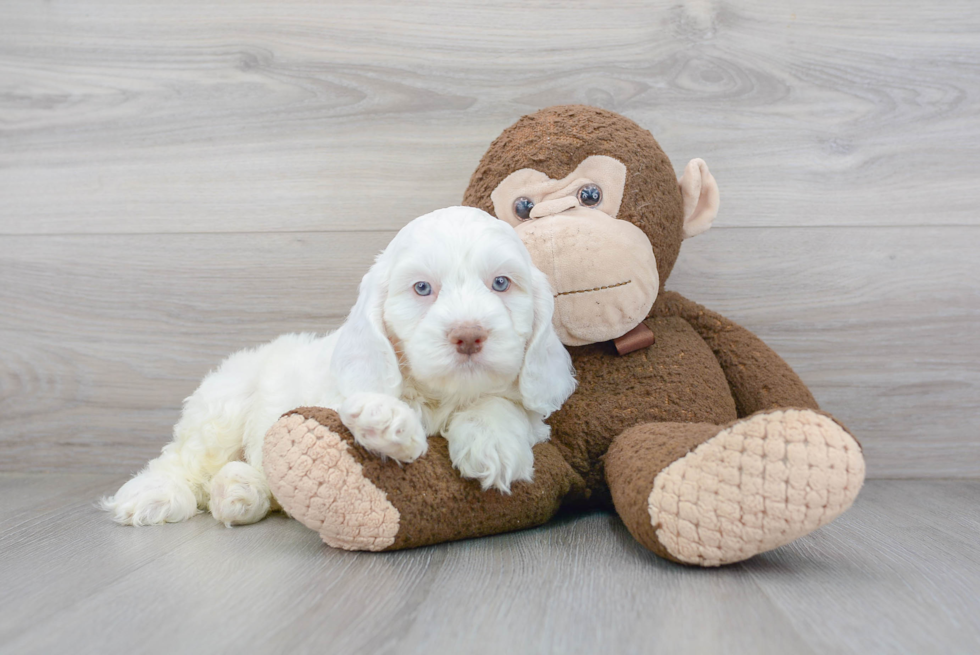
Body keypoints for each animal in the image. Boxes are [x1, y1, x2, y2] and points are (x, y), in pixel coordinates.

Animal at [101, 209, 576, 528]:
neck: (442, 395)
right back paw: (154, 495)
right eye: (422, 288)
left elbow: (504, 405)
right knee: (181, 460)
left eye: (501, 283)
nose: (469, 335)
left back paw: (239, 491)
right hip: (222, 408)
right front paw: (387, 421)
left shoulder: (529, 409)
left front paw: (492, 443)